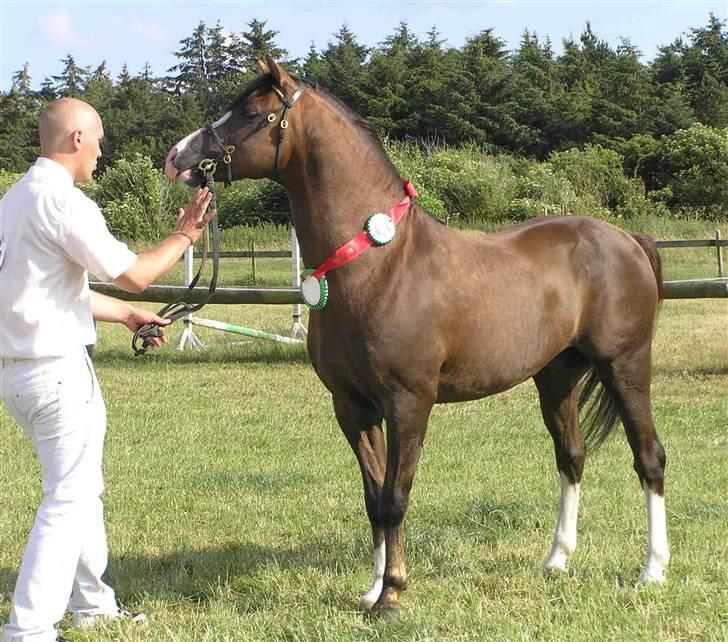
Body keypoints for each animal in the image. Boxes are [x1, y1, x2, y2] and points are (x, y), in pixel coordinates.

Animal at [166, 58, 672, 616]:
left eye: (252, 113)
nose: (177, 158)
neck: (378, 265)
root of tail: (627, 240)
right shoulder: (352, 406)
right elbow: (372, 499)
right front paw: (372, 588)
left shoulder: (408, 404)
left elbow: (395, 497)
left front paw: (392, 593)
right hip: (557, 377)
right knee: (571, 456)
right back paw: (557, 559)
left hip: (625, 366)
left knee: (649, 457)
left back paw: (652, 570)